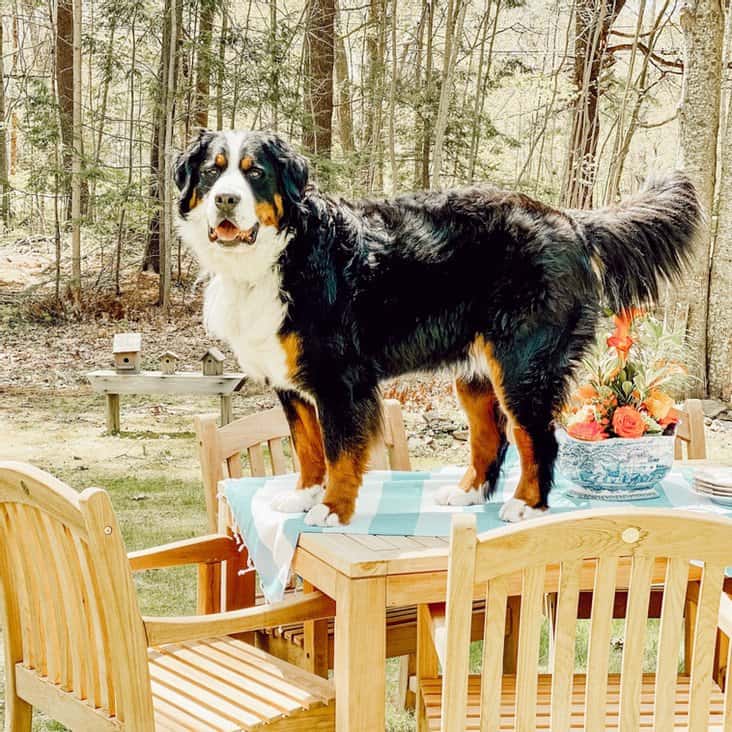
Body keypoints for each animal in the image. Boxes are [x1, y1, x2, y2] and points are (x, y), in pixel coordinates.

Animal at [174, 129, 700, 524]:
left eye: (255, 173)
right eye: (212, 171)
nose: (225, 199)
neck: (282, 253)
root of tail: (568, 220)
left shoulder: (341, 381)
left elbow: (341, 451)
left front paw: (331, 508)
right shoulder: (291, 382)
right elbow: (308, 447)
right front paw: (304, 495)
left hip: (523, 365)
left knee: (538, 437)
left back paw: (526, 505)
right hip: (478, 372)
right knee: (492, 438)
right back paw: (467, 494)